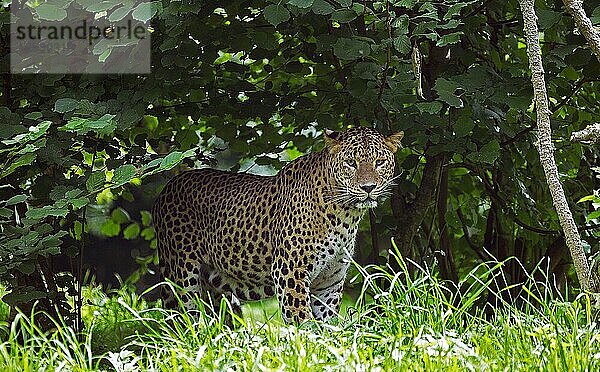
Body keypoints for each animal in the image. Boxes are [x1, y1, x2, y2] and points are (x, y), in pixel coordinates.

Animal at [151, 127, 404, 322]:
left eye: (379, 162)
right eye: (351, 163)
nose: (368, 187)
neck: (345, 215)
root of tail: (169, 186)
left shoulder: (329, 283)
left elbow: (326, 324)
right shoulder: (290, 272)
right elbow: (302, 321)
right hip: (182, 277)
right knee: (183, 321)